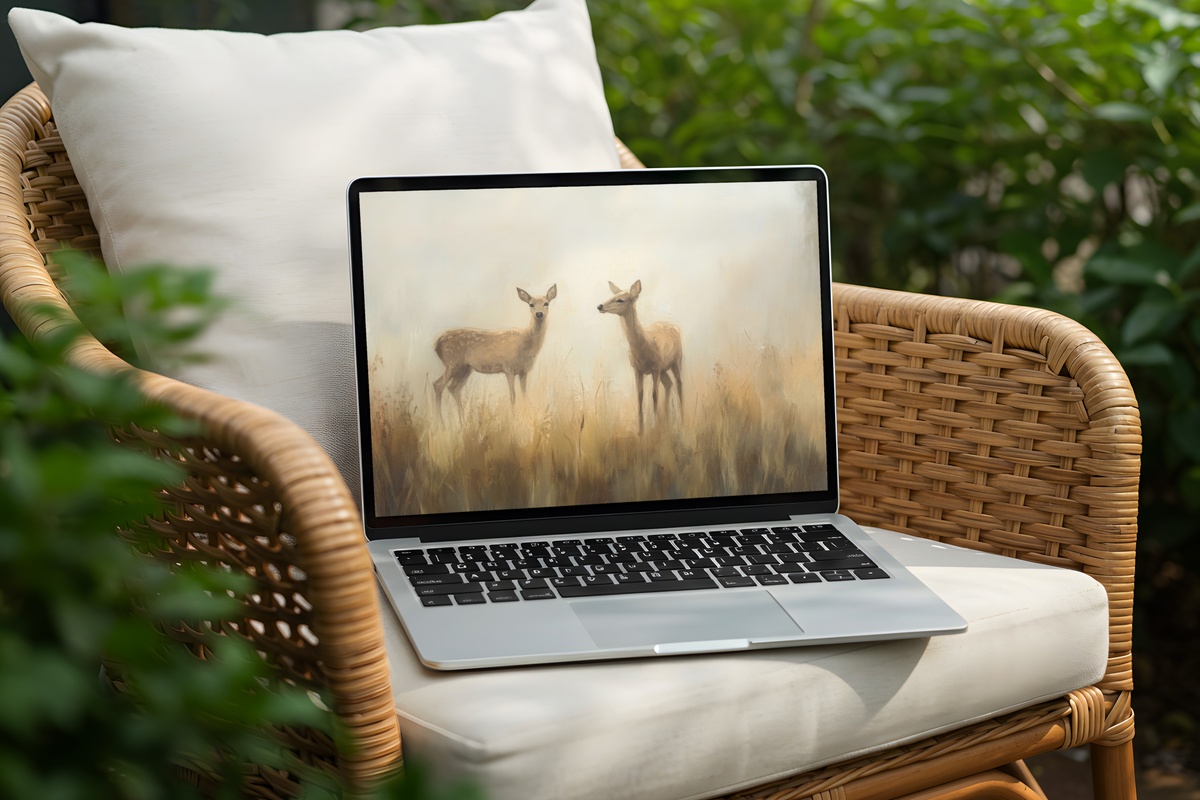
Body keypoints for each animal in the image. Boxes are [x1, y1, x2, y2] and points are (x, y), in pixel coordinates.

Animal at [433, 285, 557, 419]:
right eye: (531, 304)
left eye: (546, 303)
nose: (539, 314)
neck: (527, 344)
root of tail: (436, 343)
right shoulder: (508, 367)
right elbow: (513, 396)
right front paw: (514, 418)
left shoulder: (524, 371)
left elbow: (524, 394)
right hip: (452, 362)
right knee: (438, 385)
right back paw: (440, 421)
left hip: (465, 368)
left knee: (454, 388)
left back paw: (462, 420)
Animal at [597, 280, 683, 434]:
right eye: (613, 295)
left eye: (621, 300)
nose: (600, 306)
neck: (644, 347)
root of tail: (674, 327)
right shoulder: (637, 369)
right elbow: (640, 396)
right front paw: (641, 430)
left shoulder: (655, 369)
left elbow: (654, 395)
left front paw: (654, 426)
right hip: (664, 369)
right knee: (669, 384)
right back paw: (666, 421)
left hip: (677, 361)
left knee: (679, 385)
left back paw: (682, 421)